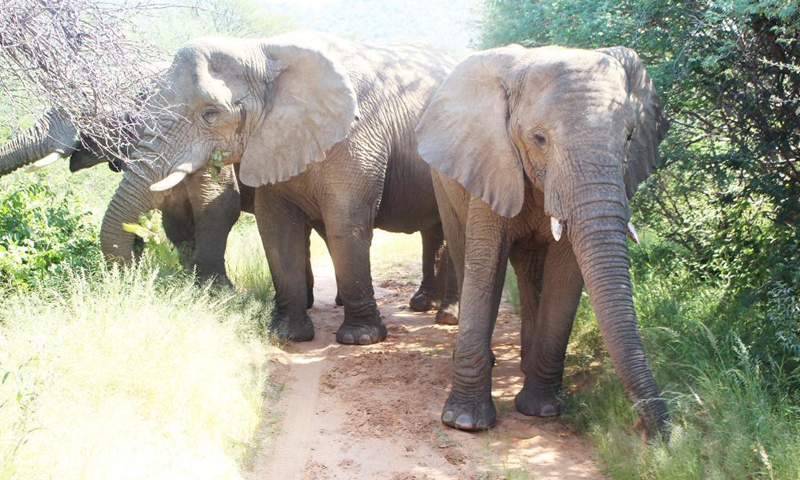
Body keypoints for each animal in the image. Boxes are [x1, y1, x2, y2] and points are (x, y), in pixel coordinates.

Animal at [121, 30, 459, 344]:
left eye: (210, 114)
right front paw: (287, 334)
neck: (262, 51)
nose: (129, 270)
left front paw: (360, 339)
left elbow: (345, 223)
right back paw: (425, 305)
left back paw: (445, 316)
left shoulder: (357, 135)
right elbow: (277, 230)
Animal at [415, 45, 670, 439]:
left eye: (629, 137)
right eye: (539, 139)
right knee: (462, 249)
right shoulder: (491, 159)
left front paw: (542, 410)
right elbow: (485, 264)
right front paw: (463, 422)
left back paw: (525, 367)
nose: (658, 433)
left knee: (531, 271)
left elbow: (565, 276)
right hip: (443, 181)